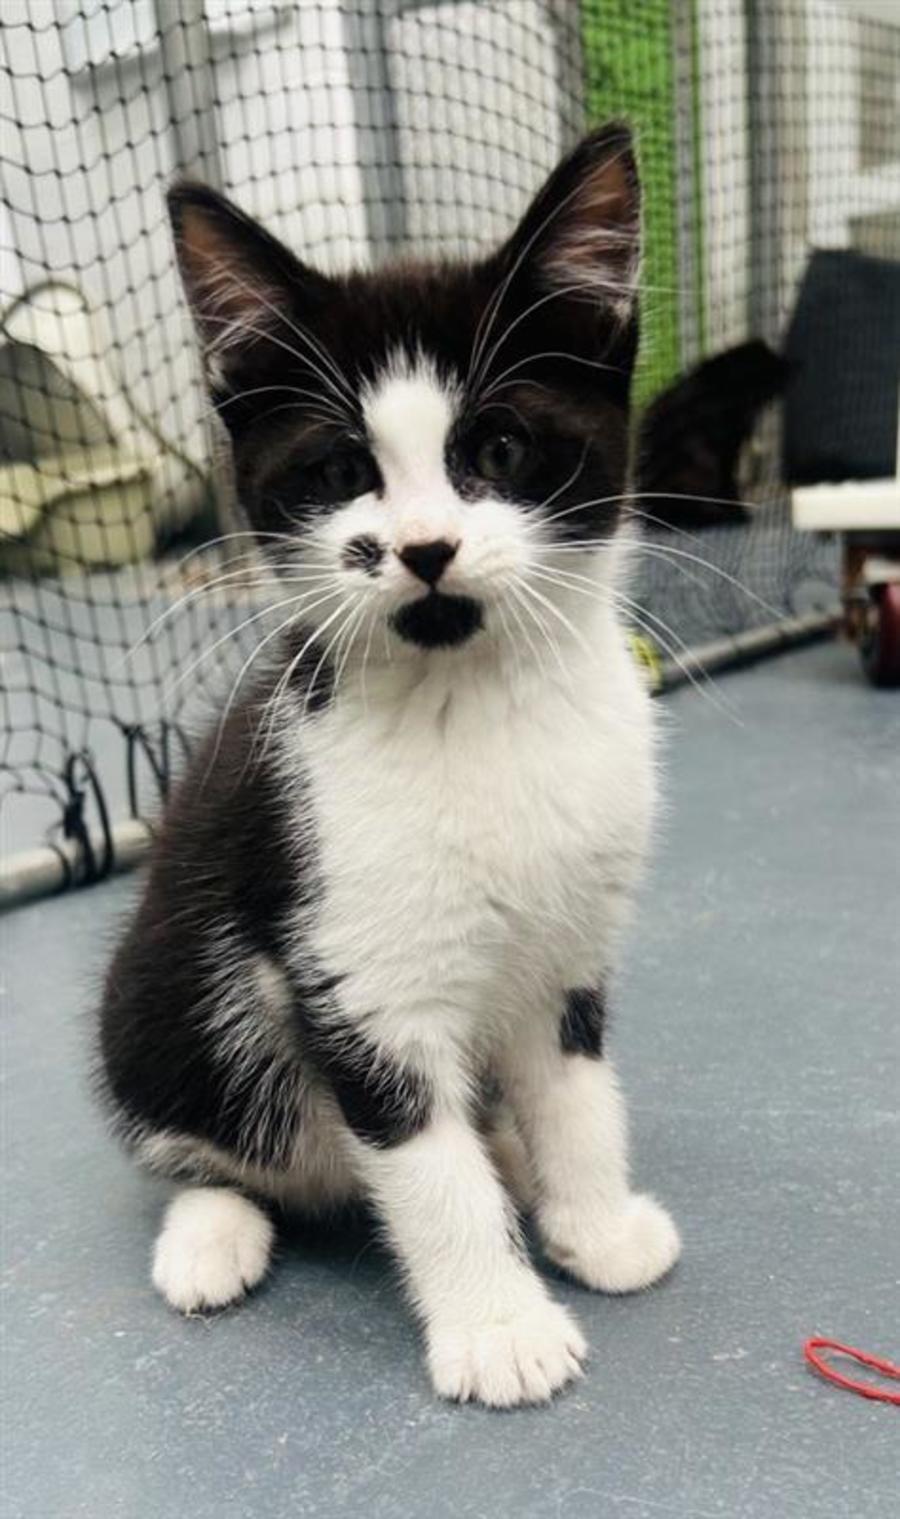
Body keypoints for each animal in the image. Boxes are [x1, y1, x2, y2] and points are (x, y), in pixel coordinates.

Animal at [98, 122, 681, 1409]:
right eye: (336, 471)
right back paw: (212, 1232)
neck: (474, 709)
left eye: (499, 447)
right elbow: (425, 1163)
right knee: (200, 1140)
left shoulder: (573, 936)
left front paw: (595, 1220)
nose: (422, 548)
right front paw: (499, 1326)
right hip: (161, 997)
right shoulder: (350, 963)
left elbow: (575, 1087)